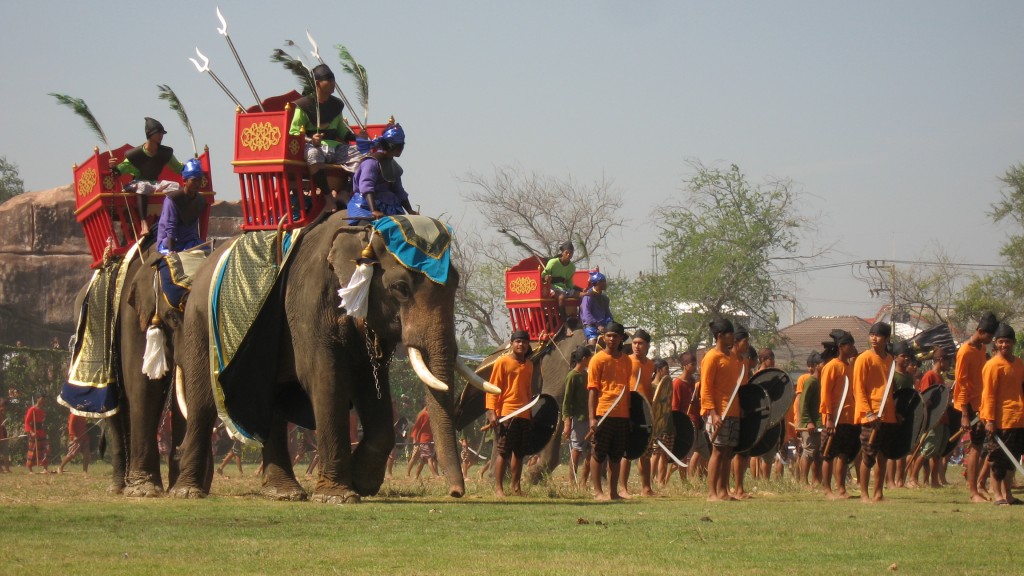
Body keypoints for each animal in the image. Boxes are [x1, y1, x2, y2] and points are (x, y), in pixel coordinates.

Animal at [169, 213, 492, 502]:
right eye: (400, 288)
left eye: (456, 284)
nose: (456, 492)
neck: (364, 231)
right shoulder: (309, 305)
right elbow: (326, 378)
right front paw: (338, 496)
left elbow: (372, 386)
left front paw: (363, 481)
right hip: (200, 323)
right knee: (202, 401)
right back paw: (188, 492)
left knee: (272, 401)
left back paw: (284, 492)